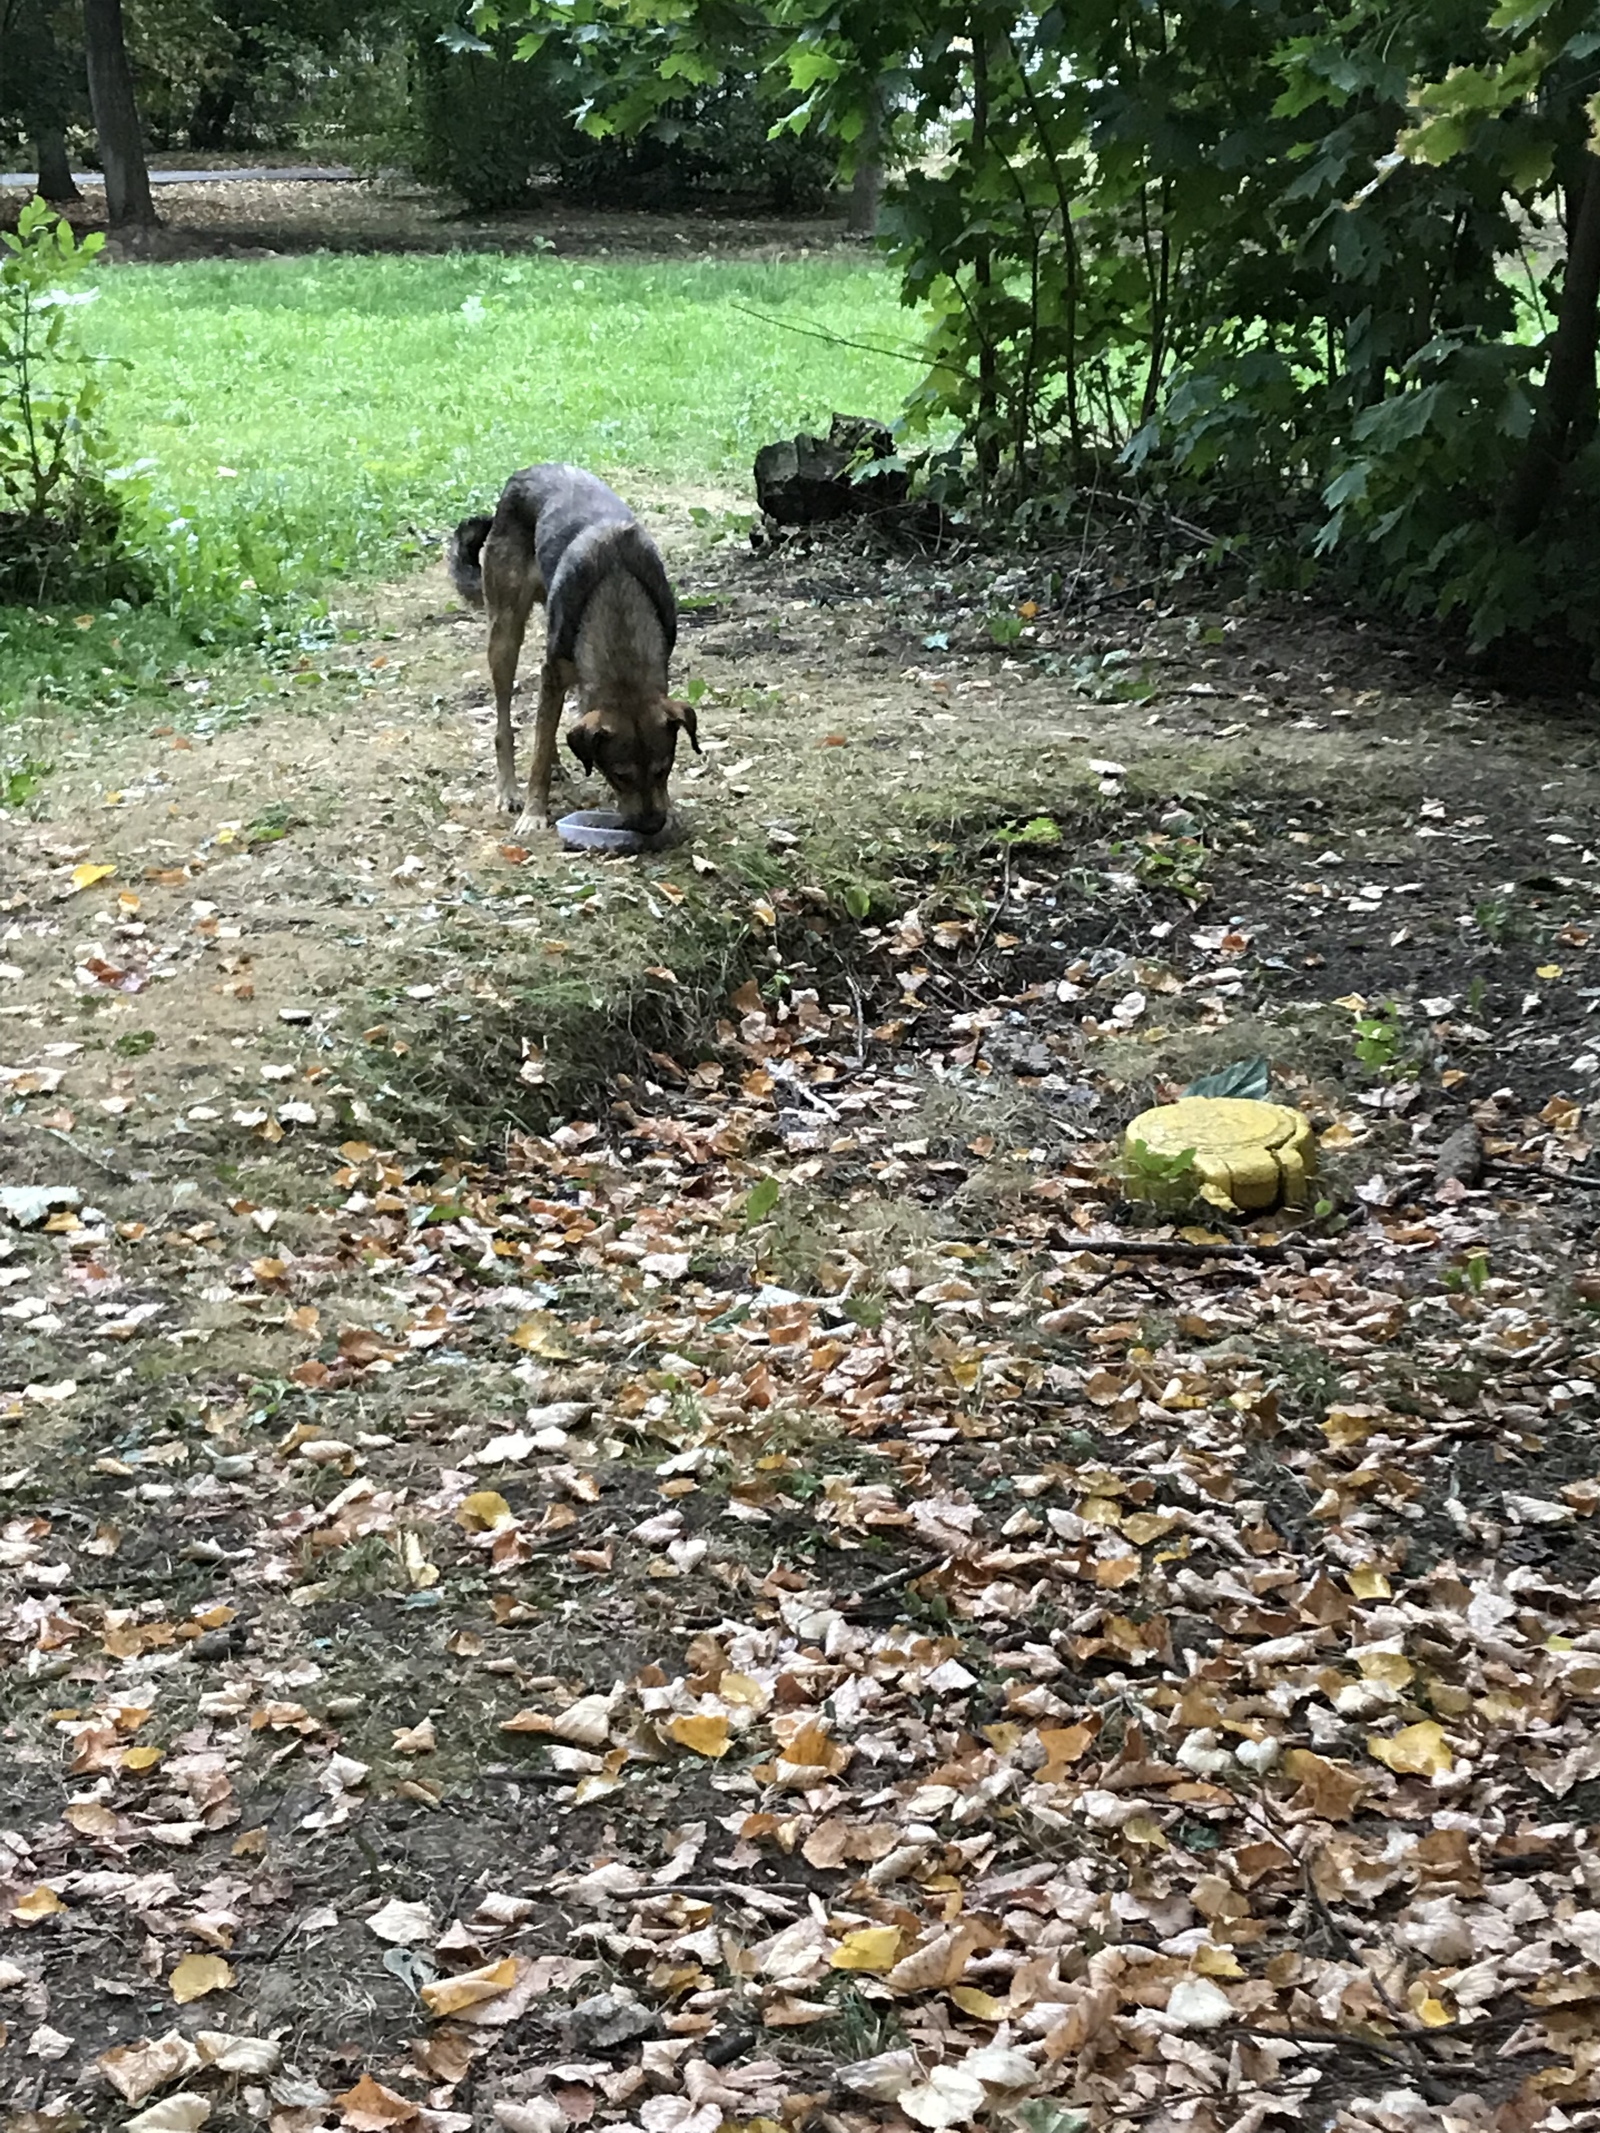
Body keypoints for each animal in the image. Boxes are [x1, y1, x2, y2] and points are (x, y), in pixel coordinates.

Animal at [452, 462, 699, 836]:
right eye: (619, 775)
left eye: (664, 768)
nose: (650, 827)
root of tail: (523, 473)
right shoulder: (553, 672)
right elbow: (537, 753)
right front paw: (534, 812)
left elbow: (546, 733)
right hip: (505, 634)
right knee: (505, 724)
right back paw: (509, 790)